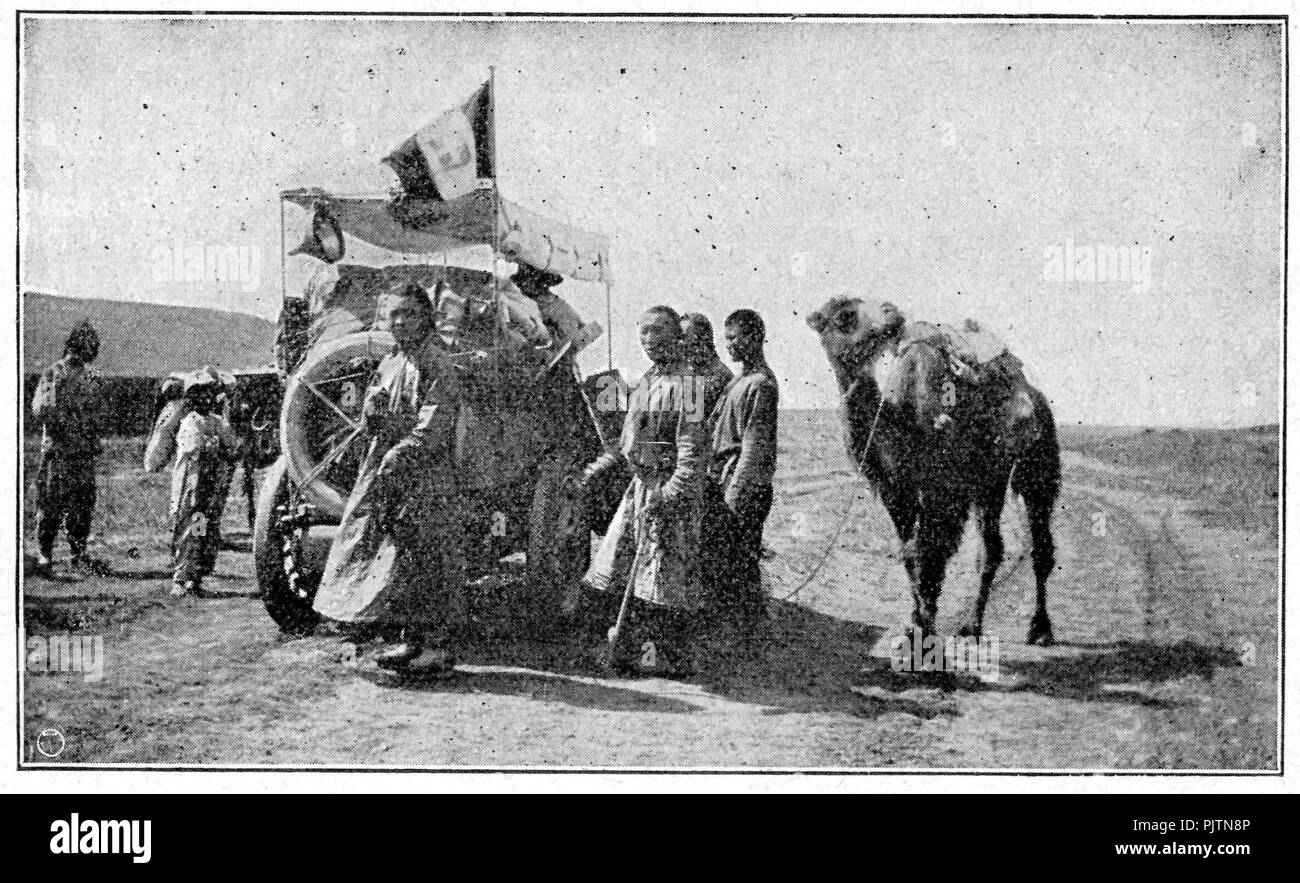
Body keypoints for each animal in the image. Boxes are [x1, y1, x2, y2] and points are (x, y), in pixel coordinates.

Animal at [806, 300, 1060, 645]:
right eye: (844, 316)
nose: (891, 310)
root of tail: (1035, 395)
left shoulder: (943, 491)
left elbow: (930, 552)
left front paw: (926, 627)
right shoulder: (896, 491)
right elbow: (910, 552)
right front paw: (915, 623)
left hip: (1036, 466)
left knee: (1039, 544)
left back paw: (1040, 629)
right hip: (989, 481)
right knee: (991, 548)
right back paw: (971, 627)